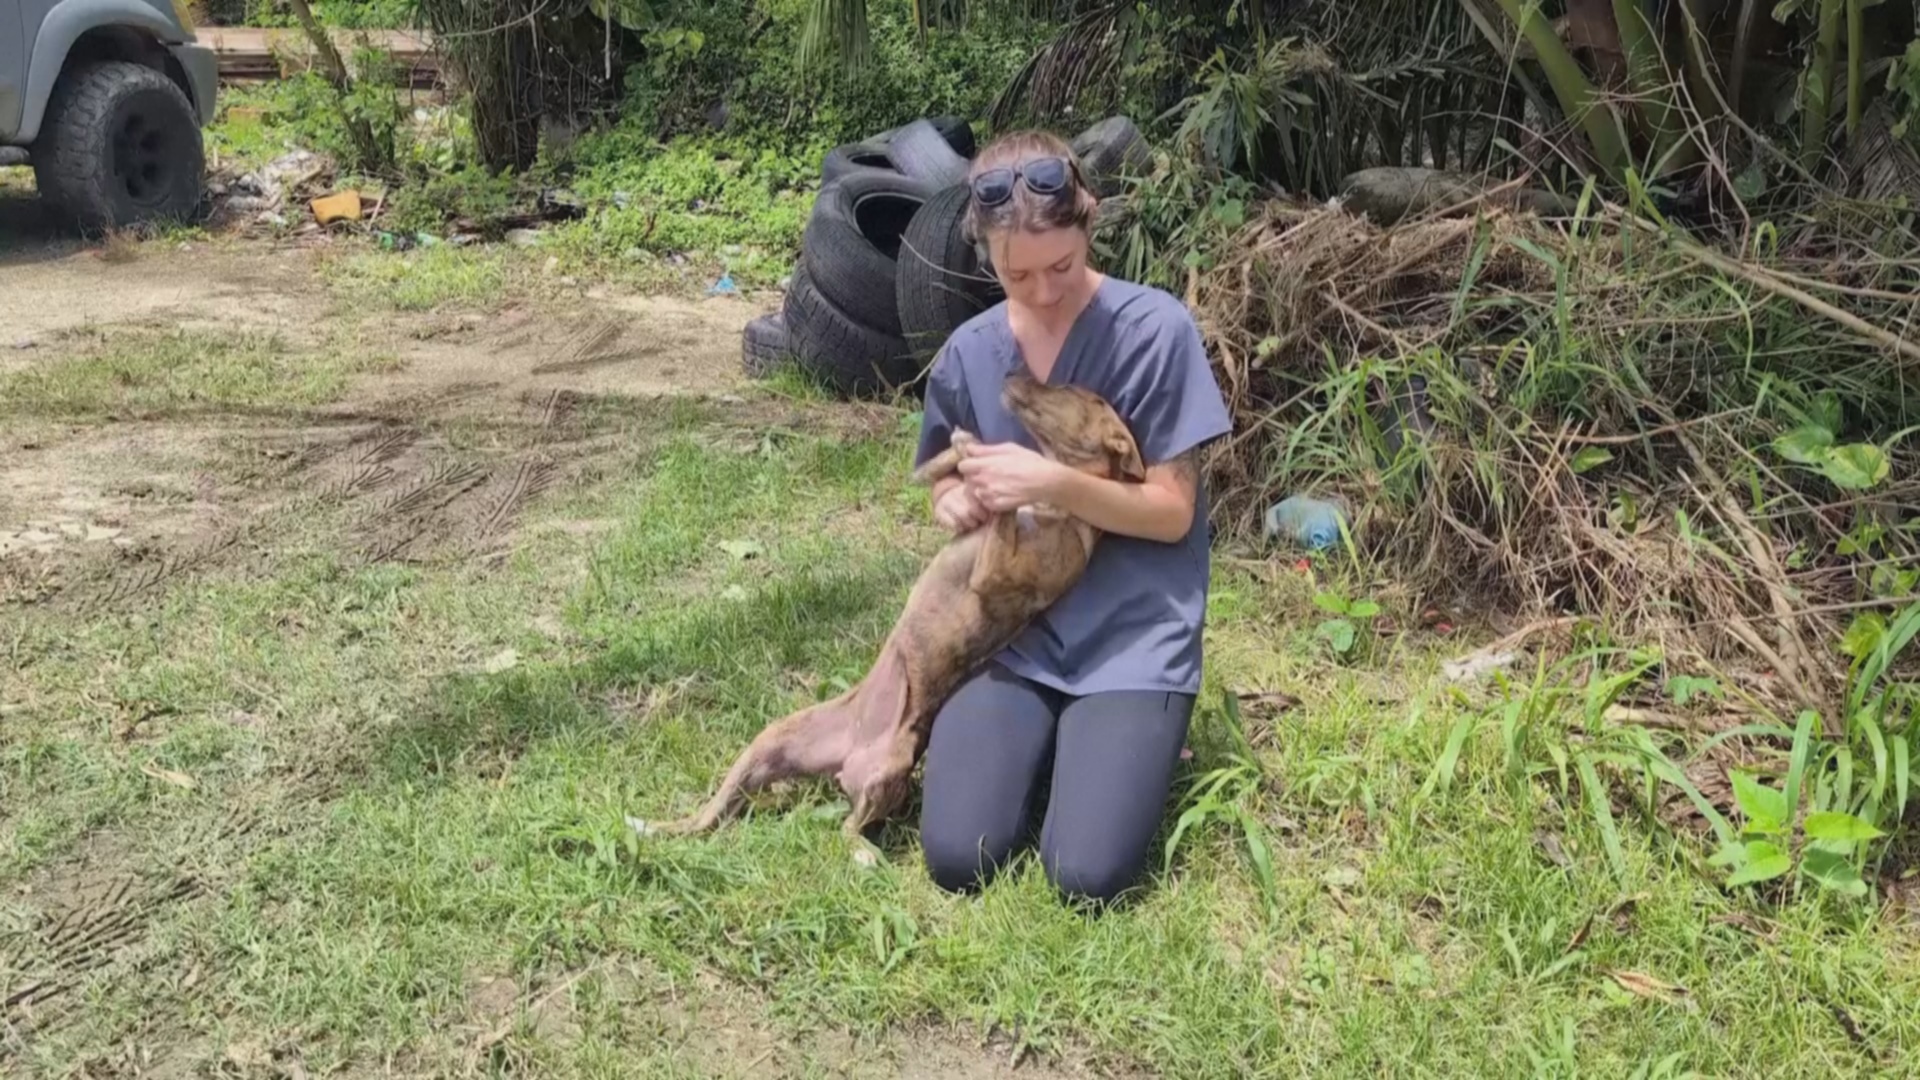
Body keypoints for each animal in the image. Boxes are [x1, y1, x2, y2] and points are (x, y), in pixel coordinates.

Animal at [633, 368, 1136, 857]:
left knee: (845, 831)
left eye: (1073, 390)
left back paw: (865, 857)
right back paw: (654, 826)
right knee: (715, 813)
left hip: (887, 770)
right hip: (771, 741)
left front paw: (990, 467)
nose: (1013, 372)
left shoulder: (997, 571)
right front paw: (961, 449)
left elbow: (1002, 507)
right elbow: (947, 475)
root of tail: (845, 758)